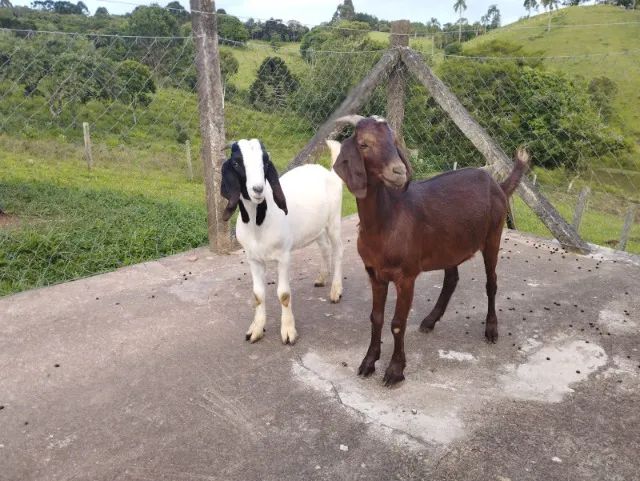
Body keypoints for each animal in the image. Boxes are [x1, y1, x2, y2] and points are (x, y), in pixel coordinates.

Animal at [221, 139, 343, 344]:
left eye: (265, 161)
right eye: (237, 163)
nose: (258, 189)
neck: (258, 224)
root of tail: (328, 173)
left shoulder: (283, 256)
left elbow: (284, 295)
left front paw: (288, 332)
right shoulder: (253, 259)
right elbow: (258, 295)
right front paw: (256, 330)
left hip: (334, 220)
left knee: (338, 250)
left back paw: (336, 291)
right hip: (316, 228)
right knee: (325, 248)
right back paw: (321, 278)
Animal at [329, 115, 529, 386]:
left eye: (393, 142)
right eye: (364, 144)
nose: (399, 171)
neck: (386, 220)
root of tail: (498, 184)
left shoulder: (406, 276)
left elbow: (397, 323)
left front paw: (395, 371)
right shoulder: (374, 273)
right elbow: (376, 317)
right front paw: (368, 363)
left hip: (493, 235)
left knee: (492, 282)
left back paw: (491, 330)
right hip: (450, 246)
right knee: (452, 278)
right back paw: (430, 320)